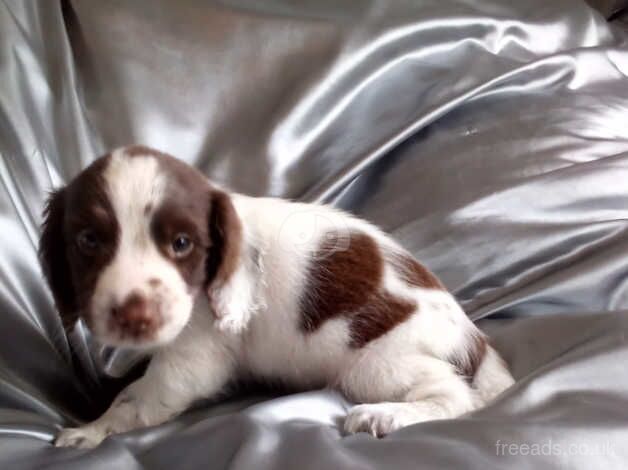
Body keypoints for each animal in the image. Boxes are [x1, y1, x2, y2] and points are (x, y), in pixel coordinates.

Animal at [39, 146, 512, 448]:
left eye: (181, 243)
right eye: (88, 241)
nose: (134, 314)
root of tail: (472, 338)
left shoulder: (193, 356)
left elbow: (134, 400)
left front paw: (91, 429)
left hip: (375, 362)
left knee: (455, 395)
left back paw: (386, 415)